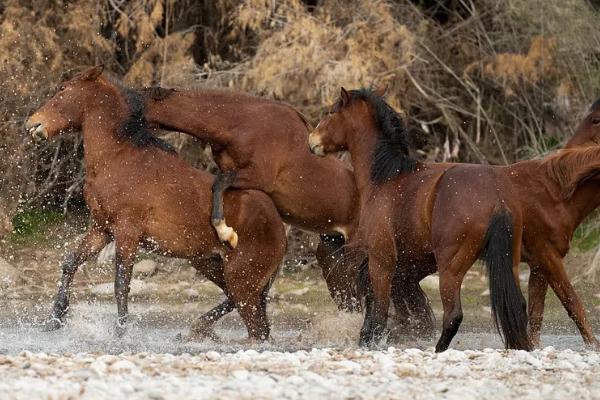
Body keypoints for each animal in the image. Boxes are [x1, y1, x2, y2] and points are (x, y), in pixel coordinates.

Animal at [23, 66, 286, 340]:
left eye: (63, 89)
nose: (32, 123)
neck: (117, 159)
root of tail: (280, 231)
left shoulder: (127, 232)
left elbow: (121, 282)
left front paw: (120, 331)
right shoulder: (102, 229)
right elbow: (70, 263)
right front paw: (54, 320)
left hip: (241, 280)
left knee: (254, 324)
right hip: (209, 265)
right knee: (249, 318)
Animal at [138, 83, 436, 332]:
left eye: (139, 97)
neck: (242, 123)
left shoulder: (256, 176)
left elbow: (218, 186)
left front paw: (226, 233)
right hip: (333, 258)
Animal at [310, 87, 600, 350]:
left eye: (331, 112)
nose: (312, 141)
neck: (386, 179)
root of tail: (496, 199)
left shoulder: (382, 261)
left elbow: (379, 312)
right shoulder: (408, 265)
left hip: (451, 268)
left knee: (453, 315)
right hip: (510, 263)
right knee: (516, 306)